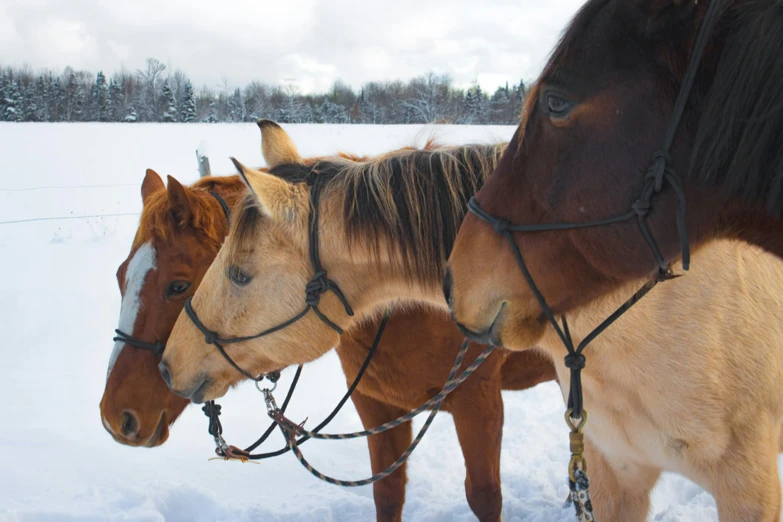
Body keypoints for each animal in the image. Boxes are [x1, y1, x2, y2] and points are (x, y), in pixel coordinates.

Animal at [101, 121, 556, 520]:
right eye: (120, 276)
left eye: (177, 285)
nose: (115, 417)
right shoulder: (376, 405)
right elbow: (388, 493)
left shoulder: (479, 402)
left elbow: (484, 498)